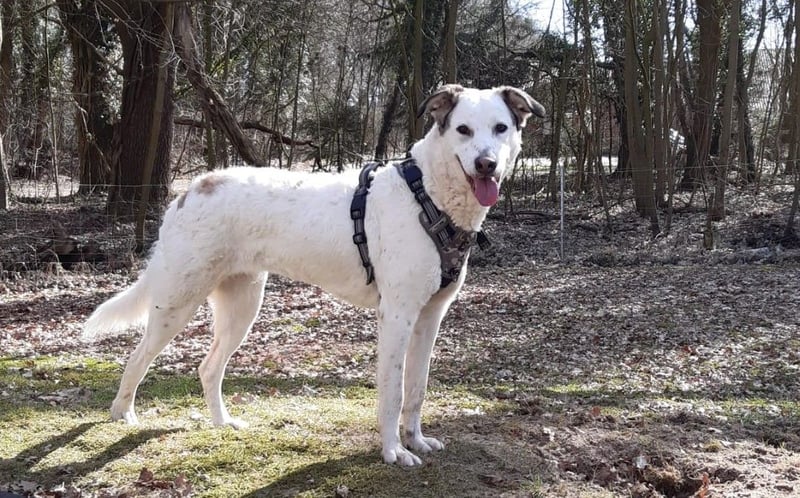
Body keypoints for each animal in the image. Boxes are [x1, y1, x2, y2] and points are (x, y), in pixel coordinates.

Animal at [83, 85, 545, 466]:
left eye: (501, 128)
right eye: (463, 130)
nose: (486, 164)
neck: (426, 195)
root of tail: (191, 190)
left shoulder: (429, 318)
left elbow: (416, 389)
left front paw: (415, 440)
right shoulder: (396, 316)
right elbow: (393, 392)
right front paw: (393, 451)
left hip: (242, 306)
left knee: (208, 368)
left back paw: (222, 422)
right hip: (177, 302)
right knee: (137, 357)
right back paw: (123, 413)